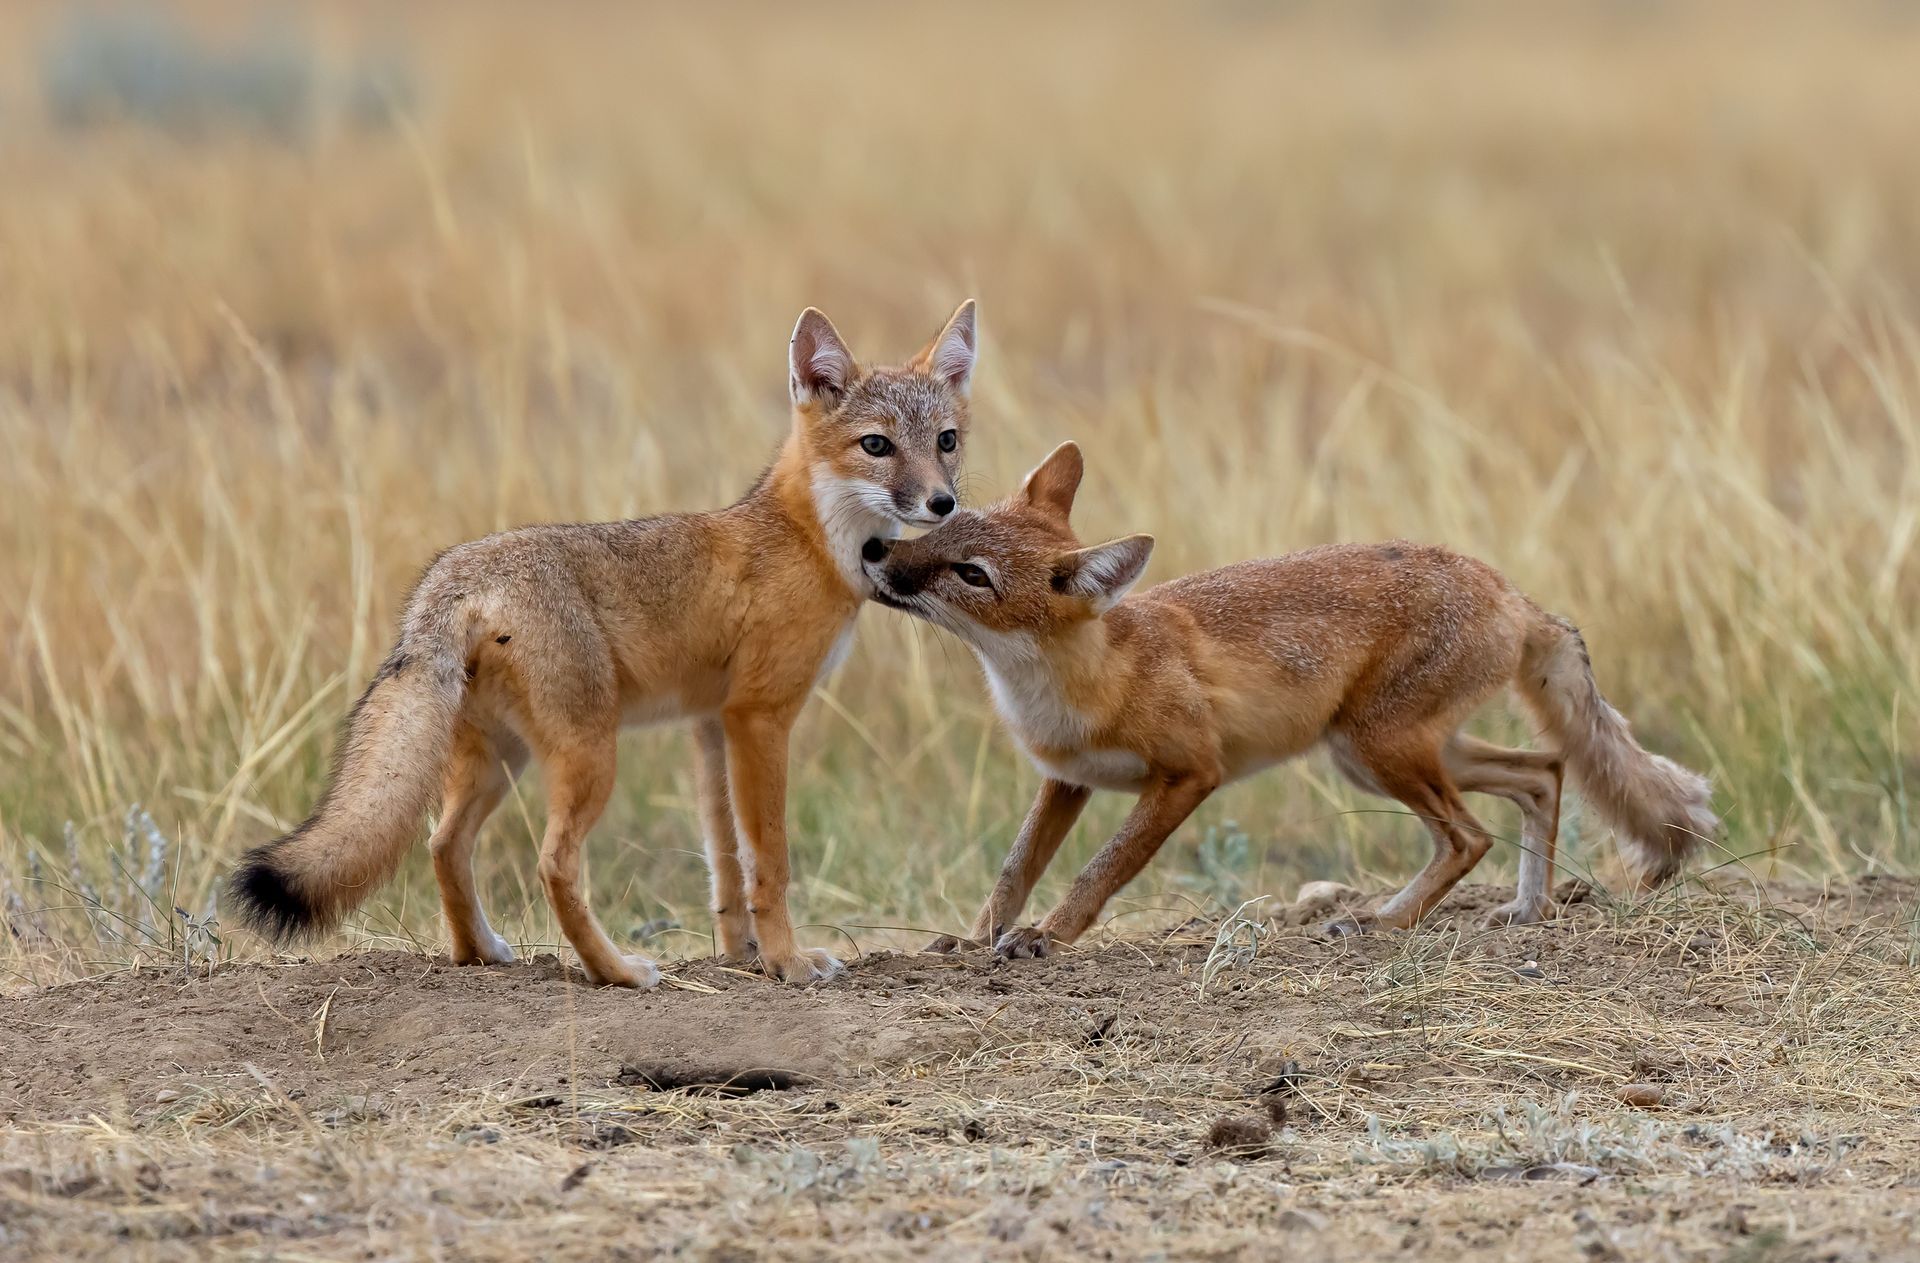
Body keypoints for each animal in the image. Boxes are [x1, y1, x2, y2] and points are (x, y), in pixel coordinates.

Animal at [226, 299, 983, 978]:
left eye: (946, 440)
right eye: (877, 445)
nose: (942, 503)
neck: (809, 538)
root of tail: (457, 572)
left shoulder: (711, 723)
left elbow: (725, 865)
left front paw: (742, 955)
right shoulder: (759, 717)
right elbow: (770, 860)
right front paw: (789, 964)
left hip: (499, 761)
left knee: (443, 844)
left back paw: (479, 952)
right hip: (589, 756)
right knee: (553, 864)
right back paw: (615, 970)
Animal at [864, 443, 1720, 955]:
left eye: (971, 574)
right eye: (942, 529)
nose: (876, 556)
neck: (1076, 679)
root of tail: (1507, 589)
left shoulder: (1188, 777)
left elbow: (1100, 870)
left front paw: (1050, 936)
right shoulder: (1065, 779)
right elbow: (1013, 870)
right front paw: (975, 938)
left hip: (1378, 751)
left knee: (1470, 836)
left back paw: (1384, 920)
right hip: (1394, 751)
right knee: (1543, 770)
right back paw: (1527, 909)